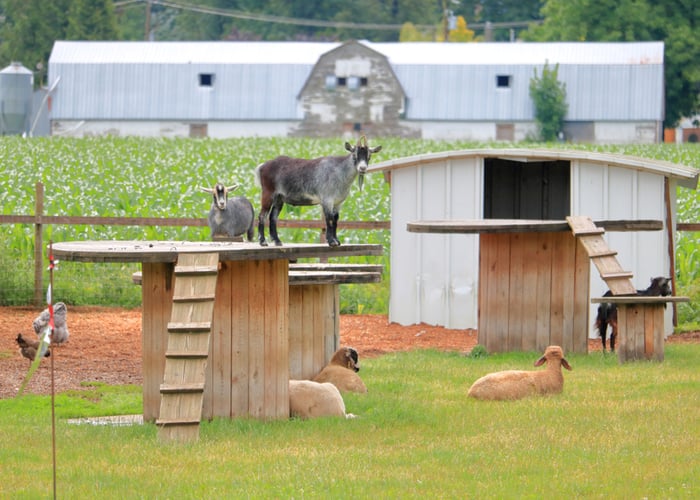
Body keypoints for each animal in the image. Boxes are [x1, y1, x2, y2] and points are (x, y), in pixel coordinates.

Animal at [254, 136, 382, 247]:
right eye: (354, 155)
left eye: (369, 156)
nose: (362, 168)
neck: (340, 171)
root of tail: (262, 166)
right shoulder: (327, 200)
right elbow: (329, 219)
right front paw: (331, 241)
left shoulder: (338, 202)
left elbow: (335, 219)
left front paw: (337, 241)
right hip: (268, 193)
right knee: (262, 215)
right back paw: (263, 242)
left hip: (279, 198)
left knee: (273, 217)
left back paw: (277, 241)